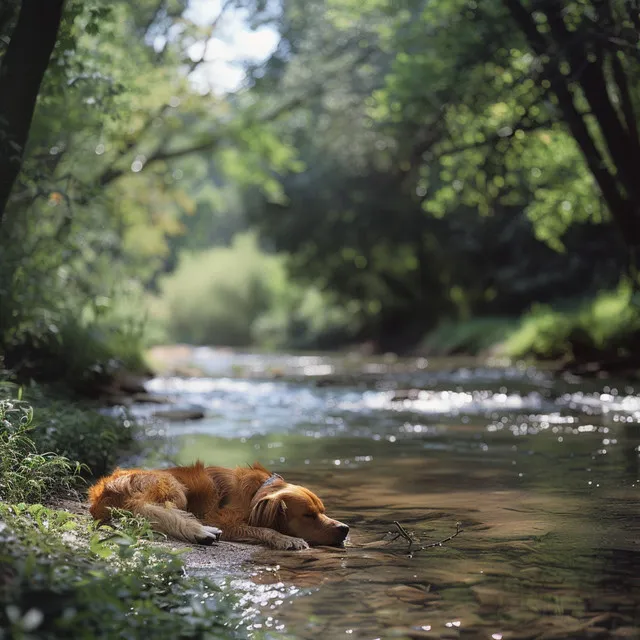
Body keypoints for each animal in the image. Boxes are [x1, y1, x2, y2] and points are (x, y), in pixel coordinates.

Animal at [89, 460, 350, 552]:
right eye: (308, 515)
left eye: (323, 511)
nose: (346, 529)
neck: (255, 493)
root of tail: (104, 488)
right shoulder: (221, 517)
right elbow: (263, 529)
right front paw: (286, 539)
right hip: (174, 487)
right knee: (161, 512)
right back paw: (201, 532)